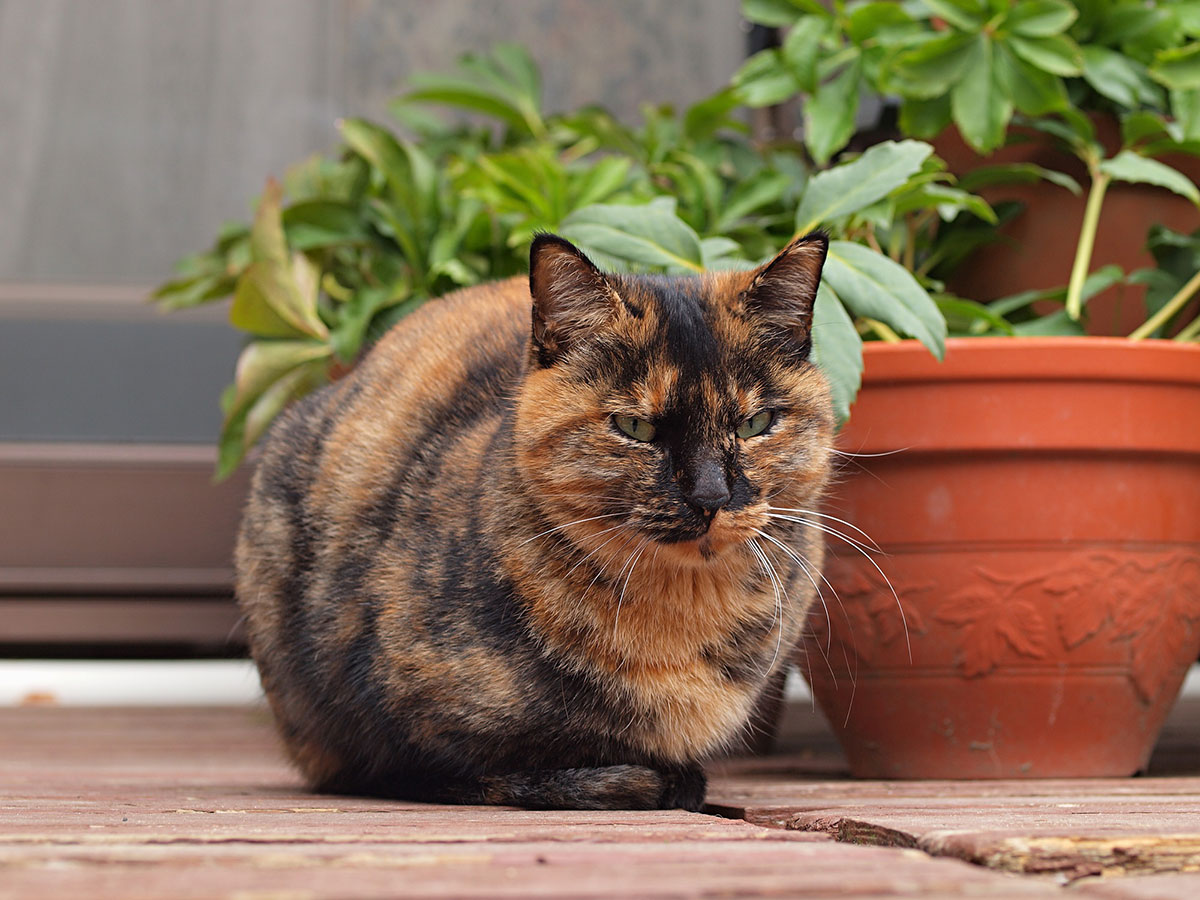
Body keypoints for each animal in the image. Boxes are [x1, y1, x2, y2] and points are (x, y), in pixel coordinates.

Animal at [234, 230, 835, 811]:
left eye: (756, 422)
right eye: (634, 427)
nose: (711, 495)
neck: (679, 615)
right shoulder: (389, 728)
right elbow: (488, 771)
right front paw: (639, 782)